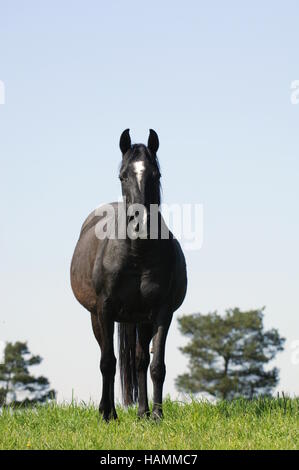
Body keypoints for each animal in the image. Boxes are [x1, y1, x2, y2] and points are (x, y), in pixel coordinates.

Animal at [71, 129, 188, 422]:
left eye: (156, 174)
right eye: (123, 175)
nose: (141, 222)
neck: (137, 254)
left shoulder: (161, 312)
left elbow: (155, 365)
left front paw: (156, 415)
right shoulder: (105, 310)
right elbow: (107, 362)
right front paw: (107, 414)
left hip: (140, 320)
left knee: (139, 361)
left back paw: (142, 412)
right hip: (97, 318)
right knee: (109, 357)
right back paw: (109, 408)